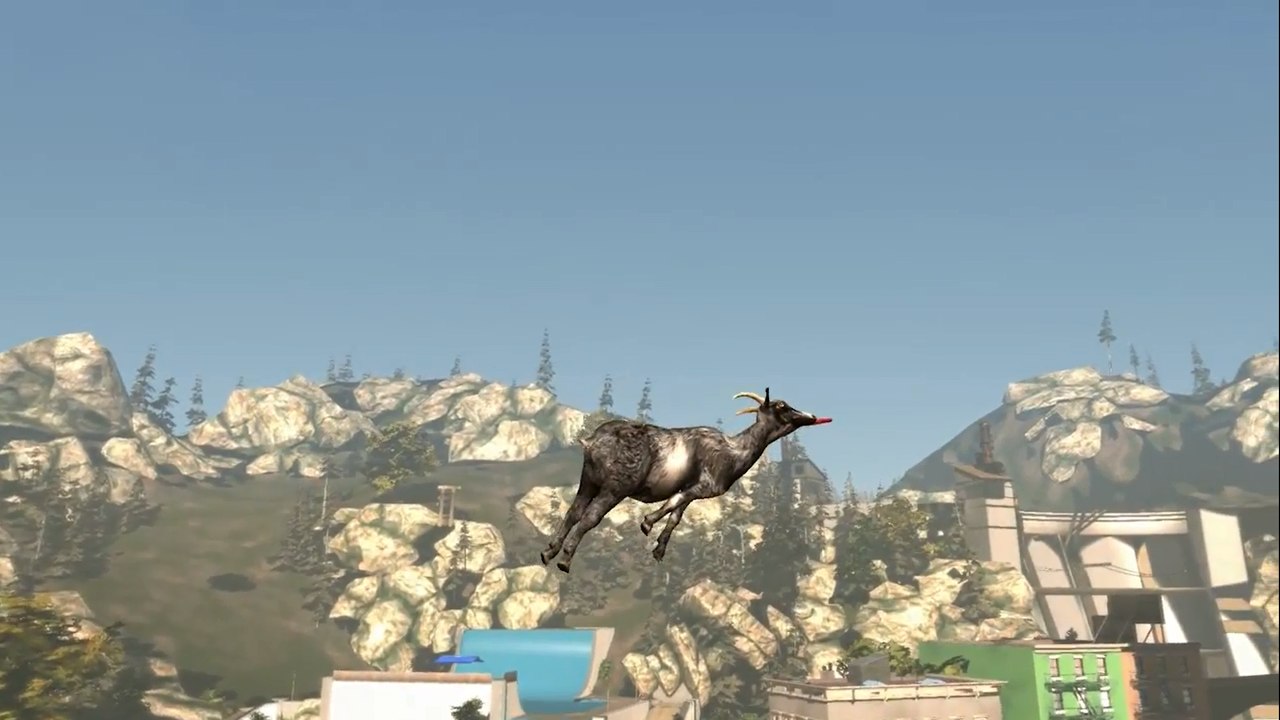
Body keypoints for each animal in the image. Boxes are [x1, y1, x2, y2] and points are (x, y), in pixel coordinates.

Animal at [540, 388, 831, 573]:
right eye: (782, 406)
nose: (812, 416)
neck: (734, 449)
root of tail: (592, 442)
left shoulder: (690, 489)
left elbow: (676, 514)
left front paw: (658, 549)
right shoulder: (704, 485)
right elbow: (673, 503)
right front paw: (647, 524)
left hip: (588, 480)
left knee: (573, 512)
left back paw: (548, 553)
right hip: (615, 487)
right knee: (589, 518)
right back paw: (564, 562)